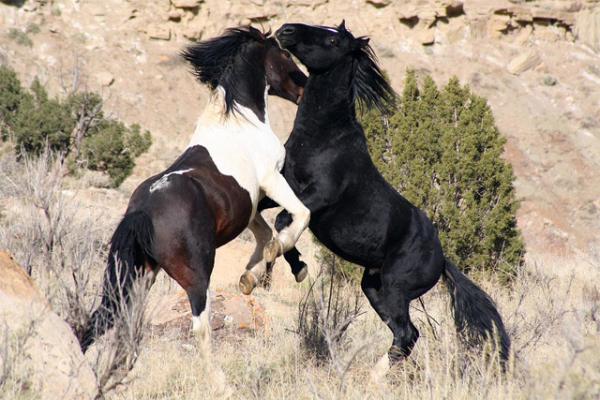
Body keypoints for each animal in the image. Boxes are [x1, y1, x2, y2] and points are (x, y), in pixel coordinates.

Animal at [78, 27, 310, 354]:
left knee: (108, 321)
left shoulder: (250, 203)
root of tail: (142, 212)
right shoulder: (271, 180)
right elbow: (299, 216)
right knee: (200, 327)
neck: (240, 123)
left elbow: (265, 234)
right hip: (195, 275)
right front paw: (282, 261)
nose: (304, 89)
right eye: (285, 54)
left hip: (138, 276)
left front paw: (251, 277)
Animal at [250, 21, 510, 370]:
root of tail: (442, 259)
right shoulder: (283, 187)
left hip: (395, 287)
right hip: (373, 286)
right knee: (405, 334)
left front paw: (283, 264)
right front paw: (286, 266)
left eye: (333, 40)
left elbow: (284, 220)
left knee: (407, 333)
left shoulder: (320, 198)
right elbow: (264, 213)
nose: (286, 29)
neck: (322, 139)